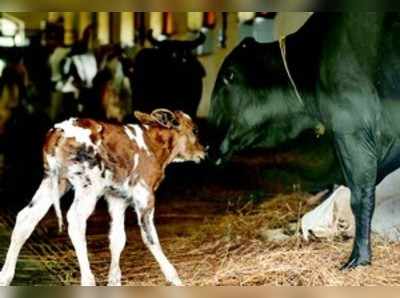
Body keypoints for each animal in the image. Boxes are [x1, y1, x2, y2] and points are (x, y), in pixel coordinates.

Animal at [0, 109, 206, 286]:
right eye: (195, 130)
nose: (204, 151)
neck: (154, 147)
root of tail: (60, 129)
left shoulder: (117, 198)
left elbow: (117, 239)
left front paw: (114, 281)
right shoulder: (144, 194)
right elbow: (150, 237)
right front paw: (174, 278)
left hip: (54, 181)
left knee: (26, 217)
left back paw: (5, 277)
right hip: (88, 186)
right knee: (75, 220)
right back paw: (88, 280)